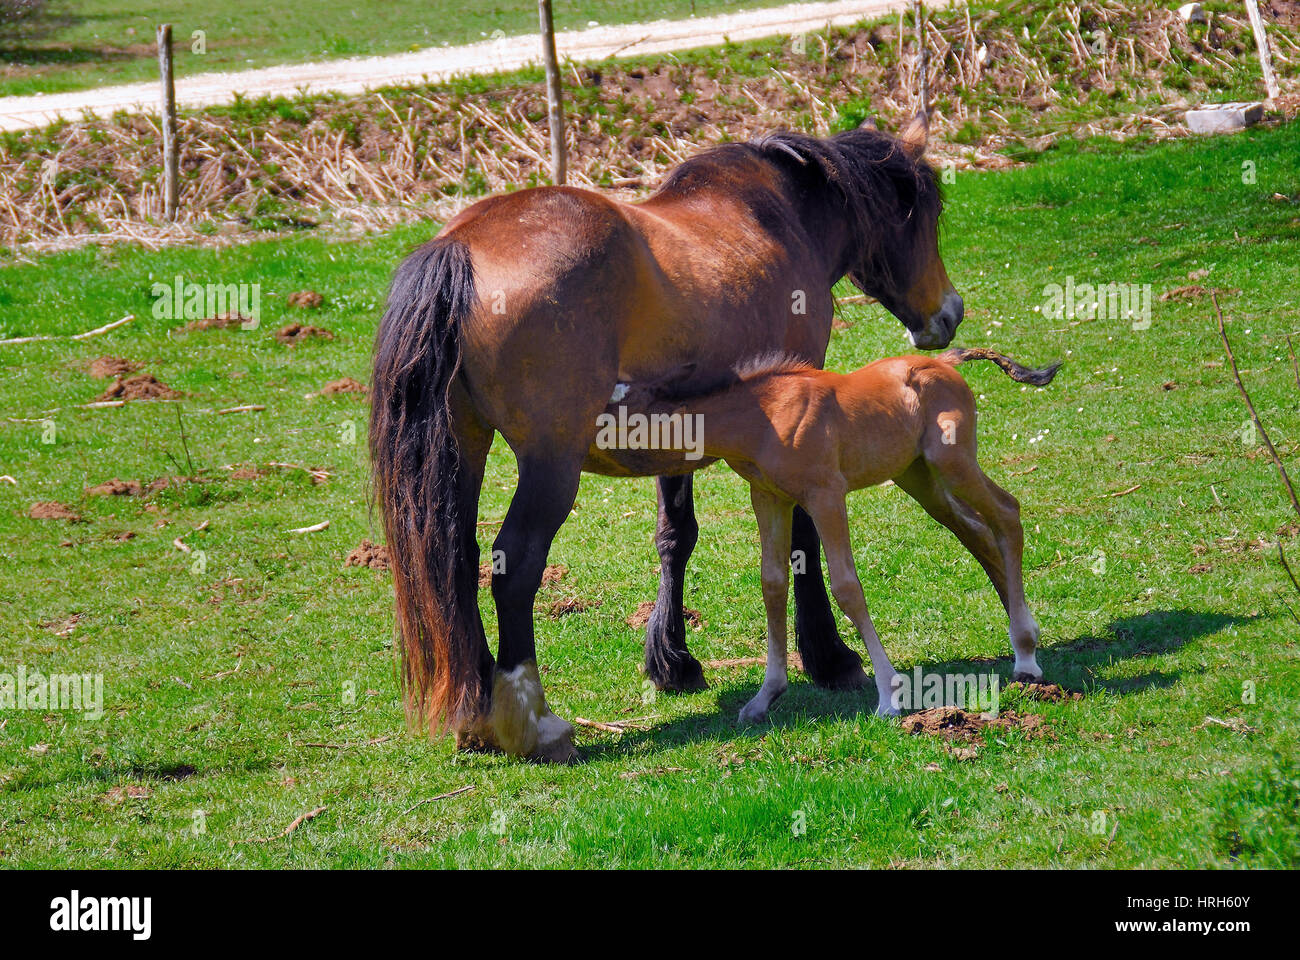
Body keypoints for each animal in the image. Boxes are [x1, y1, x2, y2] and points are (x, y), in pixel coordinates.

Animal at [603, 343, 1060, 718]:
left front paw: (889, 696)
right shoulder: (768, 498)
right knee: (978, 530)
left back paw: (1025, 657)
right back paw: (1026, 636)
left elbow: (846, 586)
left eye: (624, 407)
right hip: (918, 476)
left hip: (952, 462)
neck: (765, 414)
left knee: (1007, 514)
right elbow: (772, 584)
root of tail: (945, 361)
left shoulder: (825, 495)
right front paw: (765, 696)